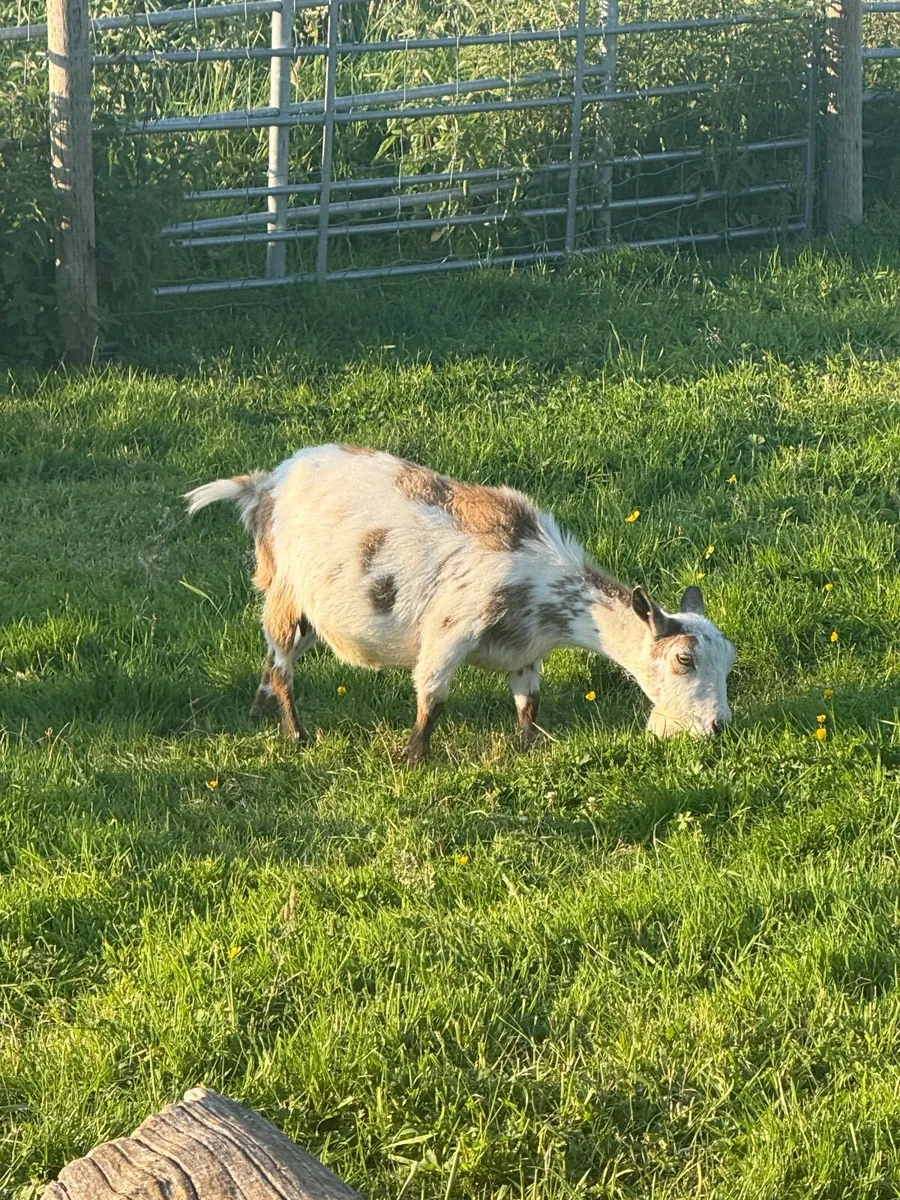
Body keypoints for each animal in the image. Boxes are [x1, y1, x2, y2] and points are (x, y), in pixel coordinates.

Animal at [185, 444, 735, 762]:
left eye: (729, 660)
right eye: (683, 658)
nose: (719, 726)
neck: (536, 570)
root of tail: (263, 485)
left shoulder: (526, 650)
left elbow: (528, 703)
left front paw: (527, 748)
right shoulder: (450, 631)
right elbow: (432, 698)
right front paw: (412, 759)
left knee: (275, 657)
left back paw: (258, 711)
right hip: (286, 593)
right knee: (282, 664)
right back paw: (296, 736)